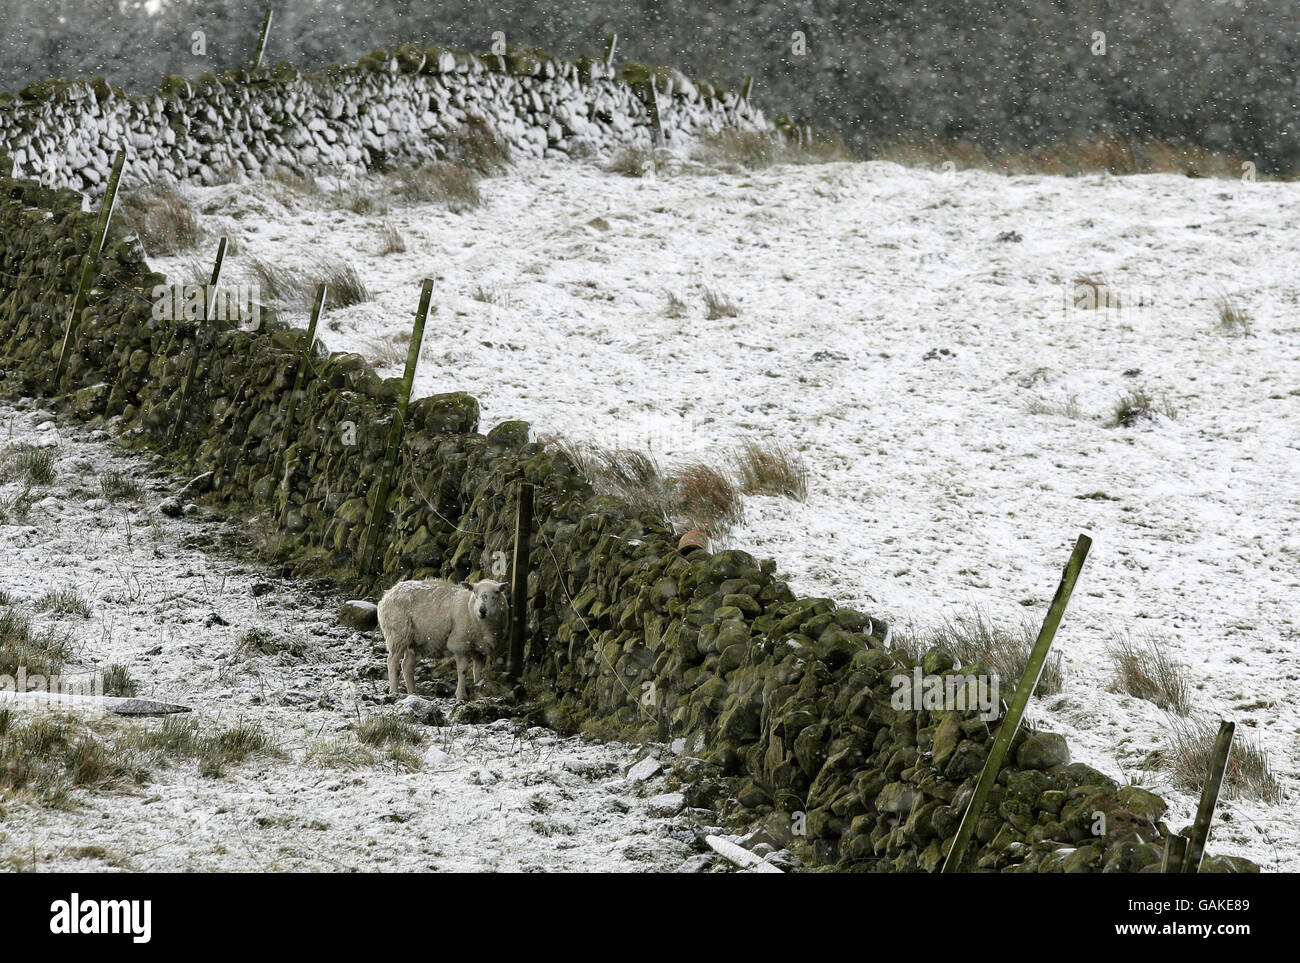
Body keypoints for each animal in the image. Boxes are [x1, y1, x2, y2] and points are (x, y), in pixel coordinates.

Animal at [377, 578, 510, 700]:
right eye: (475, 592)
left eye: (497, 592)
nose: (482, 611)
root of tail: (387, 593)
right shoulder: (459, 644)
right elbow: (462, 671)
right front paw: (461, 695)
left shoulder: (480, 650)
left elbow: (478, 672)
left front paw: (478, 690)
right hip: (397, 634)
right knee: (392, 661)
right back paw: (394, 691)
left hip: (415, 642)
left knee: (406, 666)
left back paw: (413, 693)